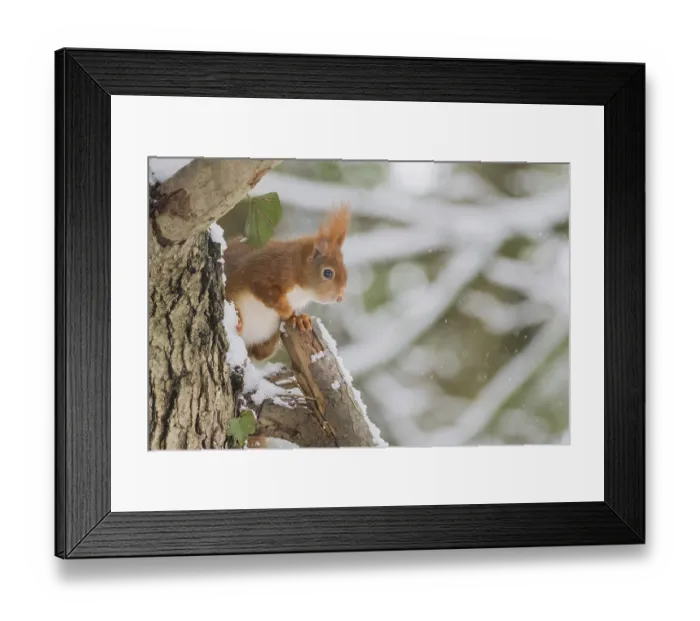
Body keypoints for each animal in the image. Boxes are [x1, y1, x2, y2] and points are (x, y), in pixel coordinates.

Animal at [223, 203, 350, 362]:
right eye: (328, 273)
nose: (340, 297)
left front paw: (298, 318)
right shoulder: (264, 270)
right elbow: (263, 289)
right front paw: (286, 309)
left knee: (261, 353)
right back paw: (238, 320)